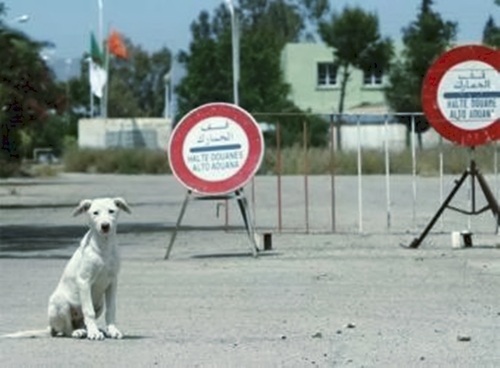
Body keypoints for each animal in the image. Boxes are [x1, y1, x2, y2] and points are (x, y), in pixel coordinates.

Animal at [47, 198, 132, 340]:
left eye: (111, 211)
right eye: (95, 213)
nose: (105, 226)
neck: (104, 246)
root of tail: (50, 327)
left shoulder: (112, 282)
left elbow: (111, 309)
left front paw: (112, 330)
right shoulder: (84, 281)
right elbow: (88, 311)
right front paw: (94, 333)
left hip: (100, 304)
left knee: (82, 322)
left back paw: (92, 330)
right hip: (59, 302)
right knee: (66, 329)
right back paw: (79, 332)